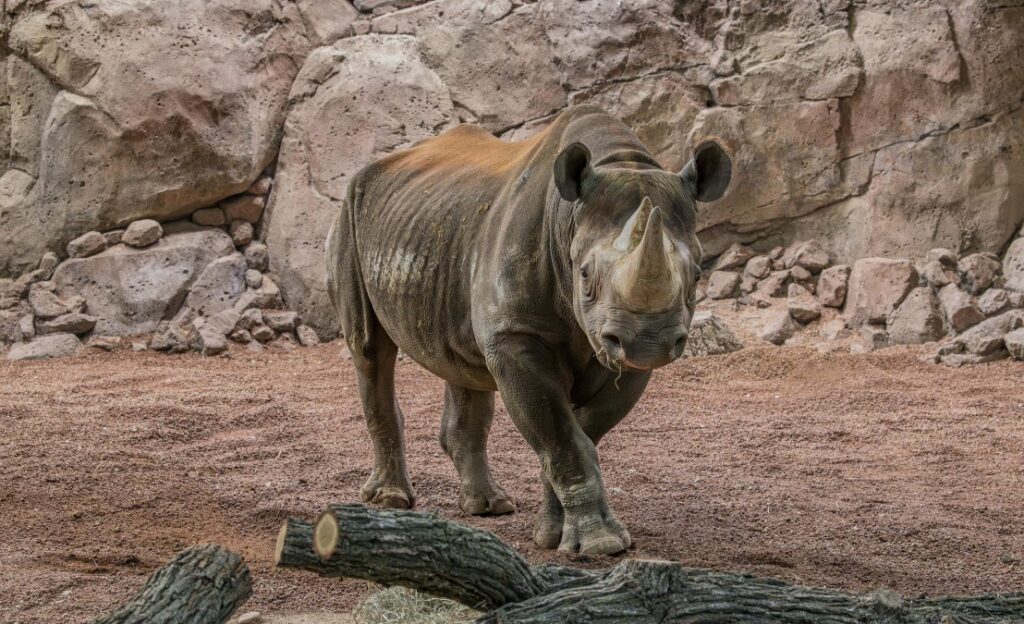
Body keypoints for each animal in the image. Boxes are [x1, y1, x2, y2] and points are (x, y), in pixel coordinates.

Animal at [326, 106, 732, 555]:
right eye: (584, 274)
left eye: (697, 276)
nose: (649, 341)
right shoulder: (516, 335)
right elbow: (562, 437)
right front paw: (601, 544)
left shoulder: (619, 352)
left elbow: (579, 434)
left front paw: (555, 535)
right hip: (351, 212)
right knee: (370, 349)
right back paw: (392, 500)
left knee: (461, 362)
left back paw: (489, 506)